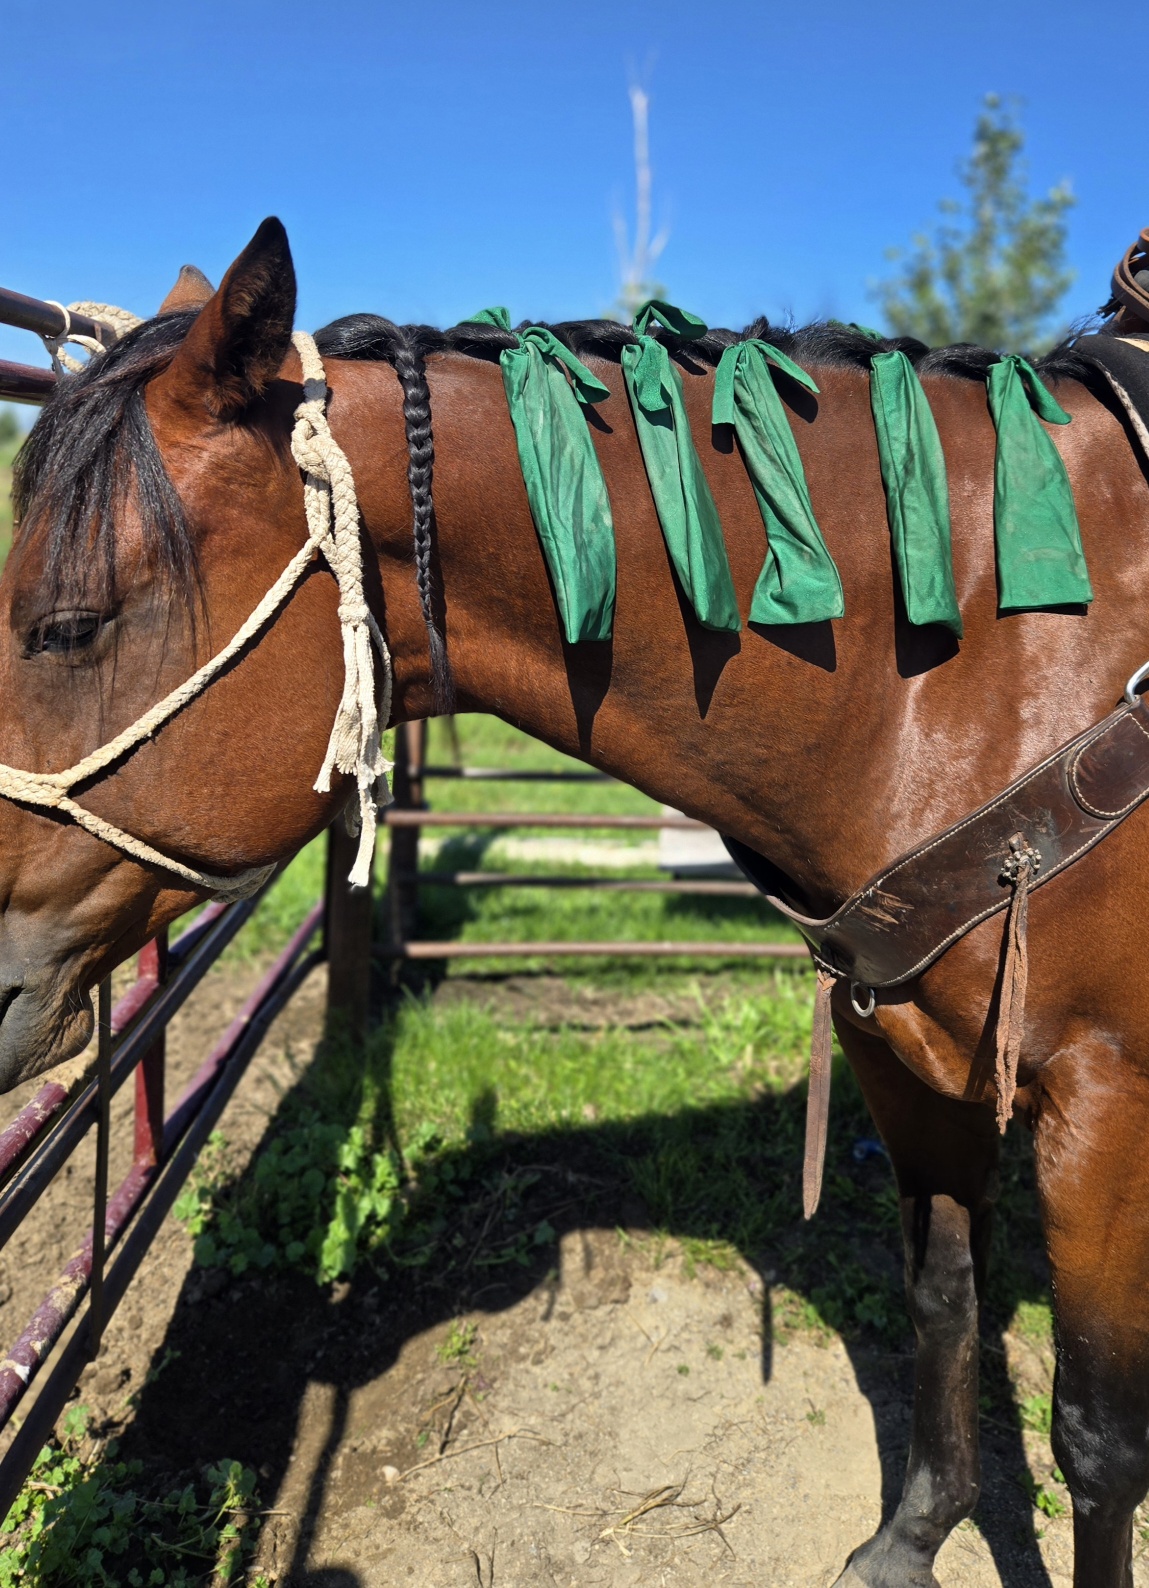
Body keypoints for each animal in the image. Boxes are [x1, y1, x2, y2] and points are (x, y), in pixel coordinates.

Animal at [3, 217, 1149, 1588]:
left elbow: (1096, 1434)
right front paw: (911, 1538)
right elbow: (943, 1302)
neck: (991, 665)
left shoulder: (1106, 1107)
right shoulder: (907, 1057)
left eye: (69, 625)